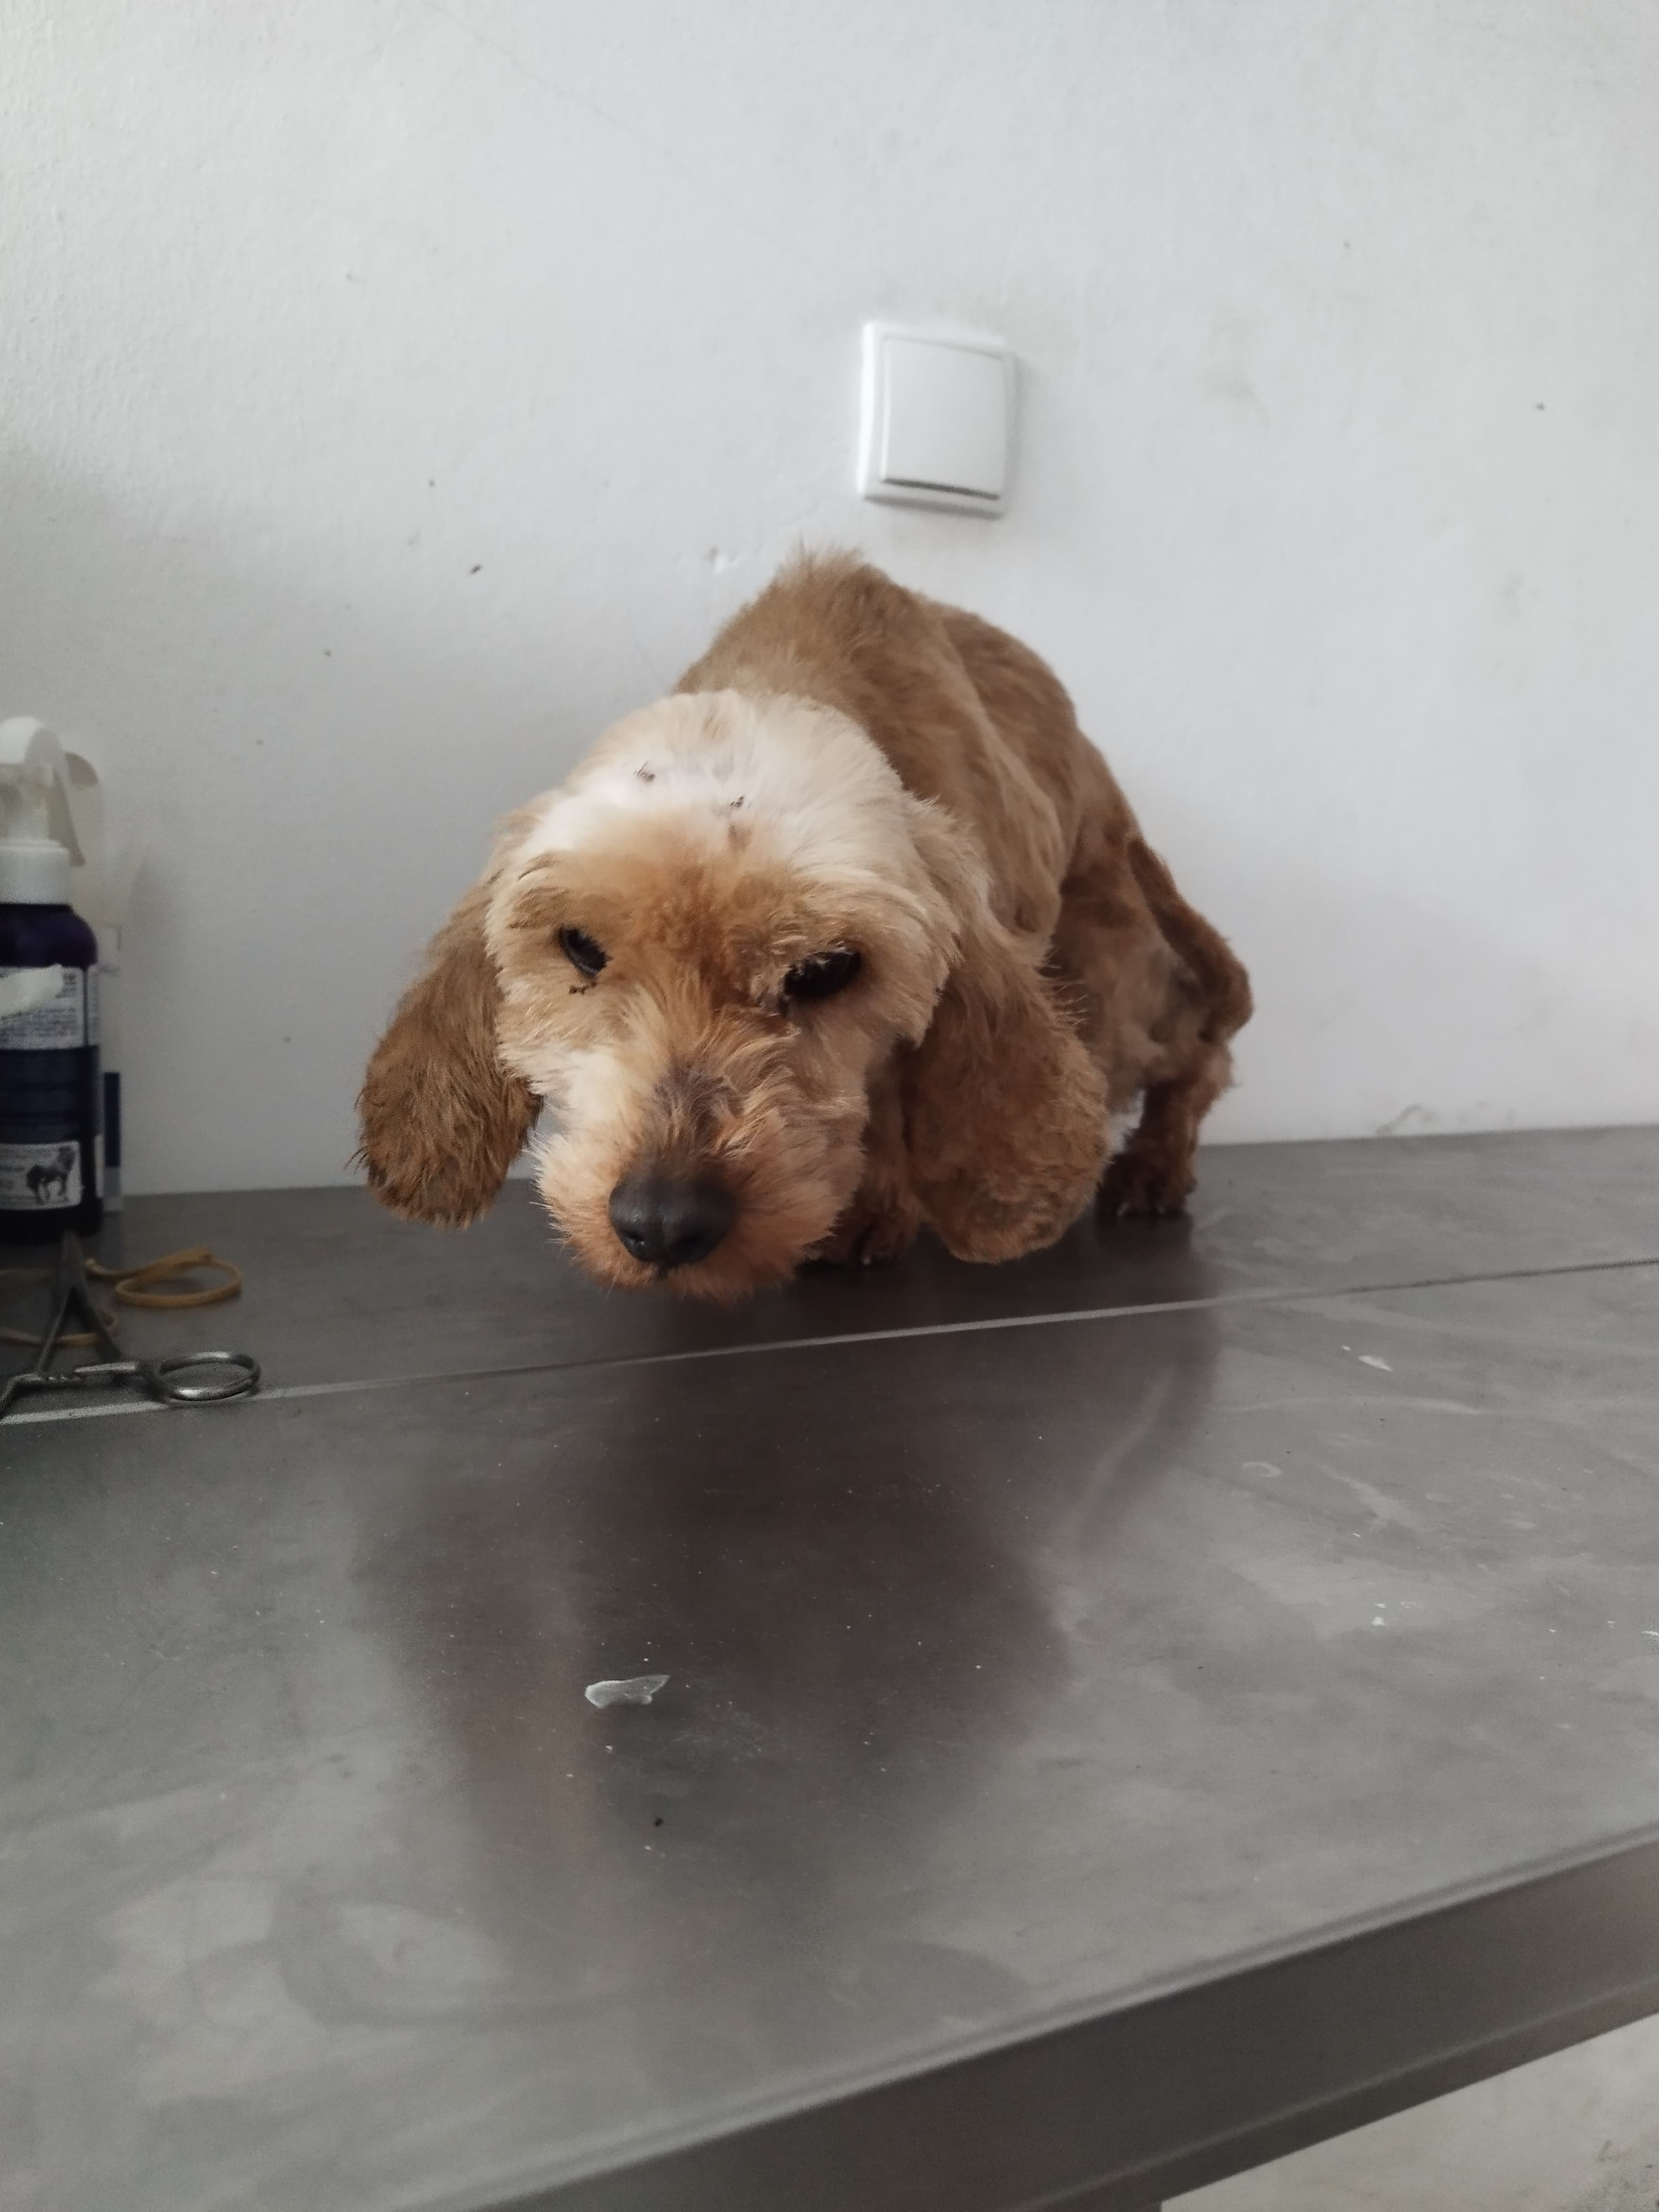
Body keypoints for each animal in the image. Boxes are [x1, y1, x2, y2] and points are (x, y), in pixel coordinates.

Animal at [358, 554, 1250, 1299]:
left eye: (824, 970)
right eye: (582, 946)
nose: (664, 1225)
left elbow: (891, 1089)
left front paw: (873, 1204)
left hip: (1106, 980)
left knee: (1196, 1050)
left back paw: (1157, 1165)